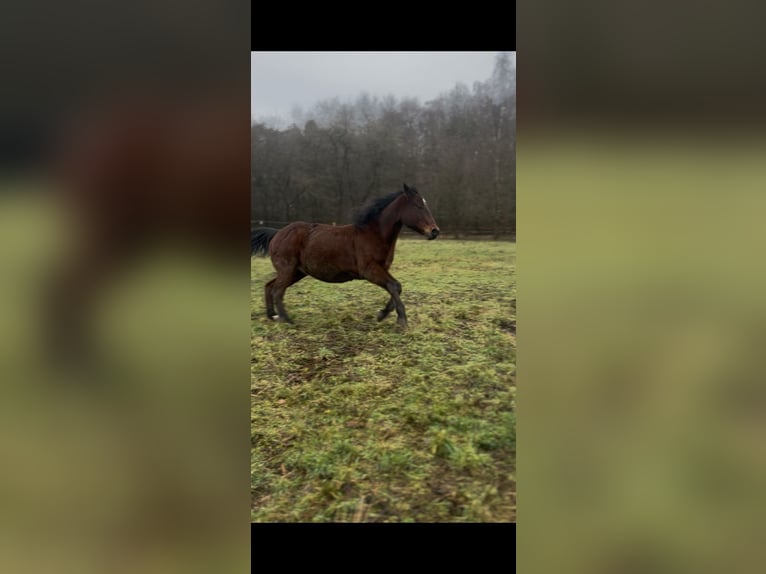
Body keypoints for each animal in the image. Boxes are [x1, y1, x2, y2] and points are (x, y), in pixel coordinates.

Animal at [251, 184, 440, 328]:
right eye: (418, 206)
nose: (434, 231)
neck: (374, 234)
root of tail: (277, 233)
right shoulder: (369, 270)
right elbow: (394, 286)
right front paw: (401, 320)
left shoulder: (382, 269)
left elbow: (396, 287)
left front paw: (382, 314)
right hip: (288, 269)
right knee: (277, 290)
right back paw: (286, 319)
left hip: (296, 272)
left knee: (269, 286)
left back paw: (272, 315)